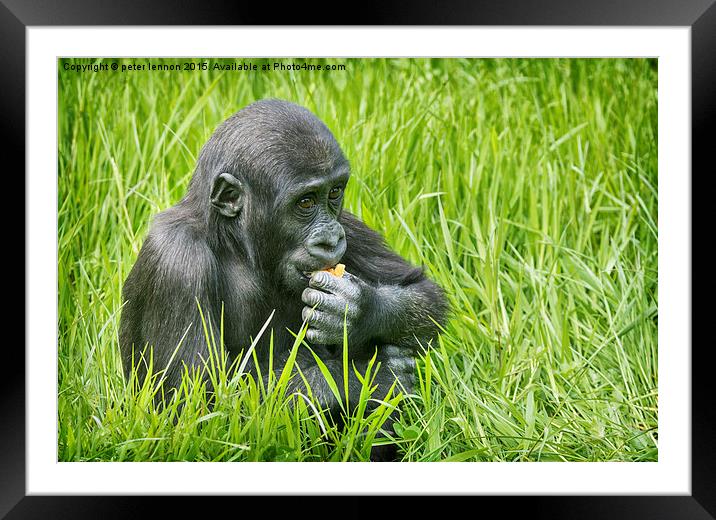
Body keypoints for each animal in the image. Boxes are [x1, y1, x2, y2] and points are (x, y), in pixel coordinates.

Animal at [121, 97, 450, 460]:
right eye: (305, 202)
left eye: (334, 193)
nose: (330, 240)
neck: (235, 243)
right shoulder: (176, 262)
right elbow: (197, 411)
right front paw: (367, 377)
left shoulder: (348, 223)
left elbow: (423, 293)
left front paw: (357, 314)